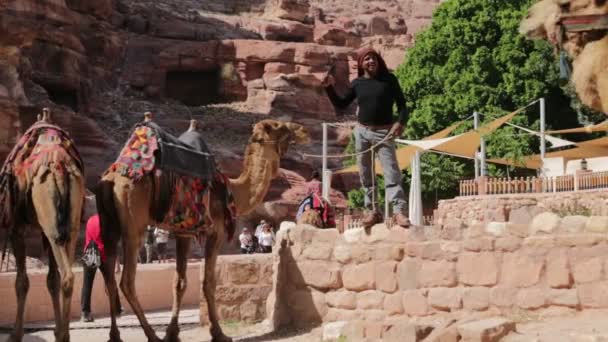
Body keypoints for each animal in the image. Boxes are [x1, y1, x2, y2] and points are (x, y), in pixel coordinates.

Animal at [0, 109, 85, 342]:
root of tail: (60, 168)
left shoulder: (17, 227)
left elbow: (22, 282)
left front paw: (15, 334)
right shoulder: (44, 233)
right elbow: (51, 280)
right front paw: (54, 329)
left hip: (51, 223)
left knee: (67, 276)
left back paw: (63, 335)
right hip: (70, 224)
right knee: (65, 274)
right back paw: (63, 333)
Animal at [96, 115, 308, 342]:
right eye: (278, 126)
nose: (303, 130)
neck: (233, 190)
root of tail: (112, 179)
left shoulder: (183, 231)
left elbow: (179, 282)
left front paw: (173, 333)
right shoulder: (217, 231)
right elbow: (209, 281)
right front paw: (219, 333)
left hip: (108, 226)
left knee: (108, 278)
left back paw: (115, 336)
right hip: (134, 225)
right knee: (126, 281)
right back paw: (152, 335)